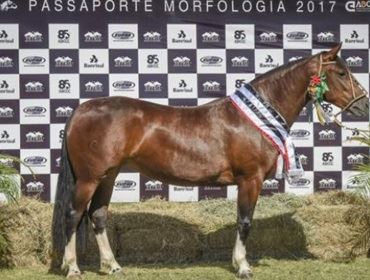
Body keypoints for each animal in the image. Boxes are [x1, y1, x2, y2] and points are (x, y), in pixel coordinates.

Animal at [51, 43, 368, 278]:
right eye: (341, 72)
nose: (363, 104)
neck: (252, 120)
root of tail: (80, 110)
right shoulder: (250, 180)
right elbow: (244, 222)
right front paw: (243, 266)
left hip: (109, 176)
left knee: (97, 215)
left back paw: (112, 266)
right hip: (89, 178)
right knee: (73, 215)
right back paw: (74, 268)